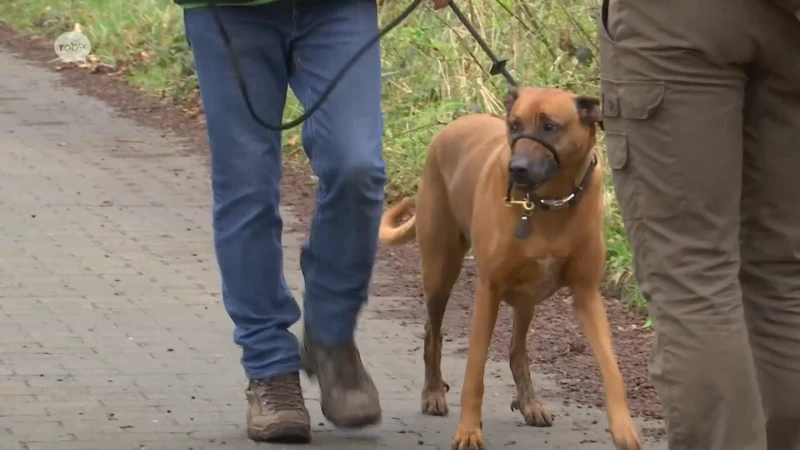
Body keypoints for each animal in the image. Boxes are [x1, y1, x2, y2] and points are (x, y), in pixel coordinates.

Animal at [378, 86, 640, 448]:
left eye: (550, 127)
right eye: (514, 125)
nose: (516, 169)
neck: (549, 204)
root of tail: (450, 127)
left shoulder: (587, 294)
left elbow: (612, 370)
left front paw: (624, 429)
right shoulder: (488, 290)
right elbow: (475, 372)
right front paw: (468, 430)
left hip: (526, 297)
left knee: (517, 350)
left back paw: (529, 402)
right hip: (439, 271)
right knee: (433, 332)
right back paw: (432, 393)